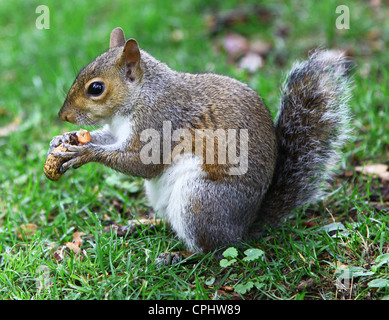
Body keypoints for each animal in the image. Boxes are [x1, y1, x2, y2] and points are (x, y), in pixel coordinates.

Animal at [49, 26, 352, 255]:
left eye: (96, 88)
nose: (63, 116)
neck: (141, 96)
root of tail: (244, 228)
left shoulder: (161, 123)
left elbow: (141, 164)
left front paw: (84, 153)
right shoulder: (118, 131)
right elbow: (108, 139)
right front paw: (63, 140)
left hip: (200, 200)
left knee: (212, 249)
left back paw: (180, 256)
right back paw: (141, 225)